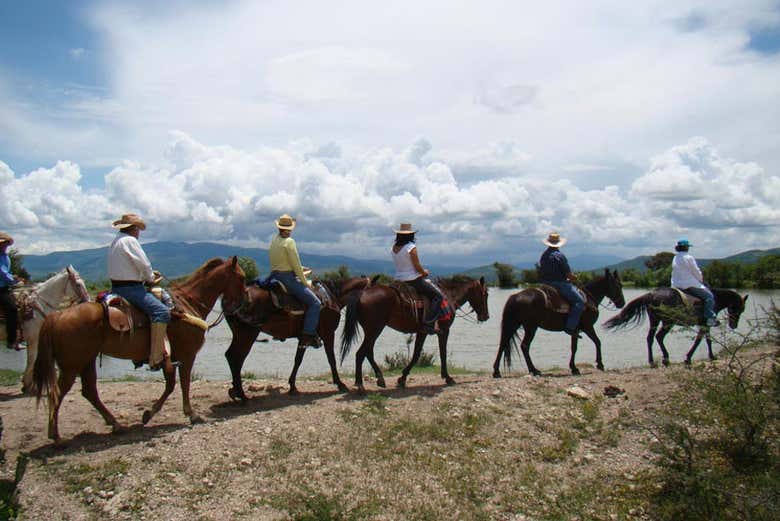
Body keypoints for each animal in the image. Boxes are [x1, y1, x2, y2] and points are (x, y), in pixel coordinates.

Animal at [33, 258, 245, 440]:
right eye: (242, 277)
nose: (241, 304)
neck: (187, 304)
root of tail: (57, 316)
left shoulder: (169, 358)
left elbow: (170, 385)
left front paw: (148, 414)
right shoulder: (186, 355)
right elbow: (183, 383)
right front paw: (191, 414)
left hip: (86, 361)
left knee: (89, 391)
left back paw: (116, 425)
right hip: (72, 365)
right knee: (58, 393)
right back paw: (55, 435)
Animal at [224, 274, 374, 400]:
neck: (333, 297)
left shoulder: (304, 337)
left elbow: (298, 359)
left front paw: (292, 386)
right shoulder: (328, 333)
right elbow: (331, 359)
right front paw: (340, 383)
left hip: (239, 334)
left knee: (231, 356)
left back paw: (235, 391)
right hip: (247, 335)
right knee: (236, 358)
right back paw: (241, 395)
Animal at [340, 276, 488, 390]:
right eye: (485, 294)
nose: (486, 316)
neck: (449, 296)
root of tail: (362, 294)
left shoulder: (422, 332)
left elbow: (416, 353)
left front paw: (402, 378)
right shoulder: (444, 331)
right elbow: (442, 353)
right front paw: (448, 377)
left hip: (371, 331)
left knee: (368, 352)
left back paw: (380, 379)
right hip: (374, 329)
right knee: (361, 353)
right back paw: (360, 384)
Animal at [494, 270, 628, 376]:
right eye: (618, 285)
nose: (622, 303)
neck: (589, 299)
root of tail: (515, 296)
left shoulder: (575, 330)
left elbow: (574, 347)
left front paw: (574, 368)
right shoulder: (588, 327)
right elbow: (597, 342)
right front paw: (600, 364)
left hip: (514, 325)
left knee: (503, 344)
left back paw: (497, 371)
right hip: (531, 327)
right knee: (525, 346)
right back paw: (534, 370)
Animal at [600, 286, 748, 368]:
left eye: (742, 310)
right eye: (738, 308)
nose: (733, 325)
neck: (716, 298)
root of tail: (651, 294)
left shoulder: (704, 324)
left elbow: (706, 340)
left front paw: (708, 356)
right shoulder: (705, 324)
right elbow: (702, 340)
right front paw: (691, 358)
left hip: (656, 320)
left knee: (651, 338)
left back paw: (654, 360)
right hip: (668, 322)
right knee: (658, 337)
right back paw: (664, 358)